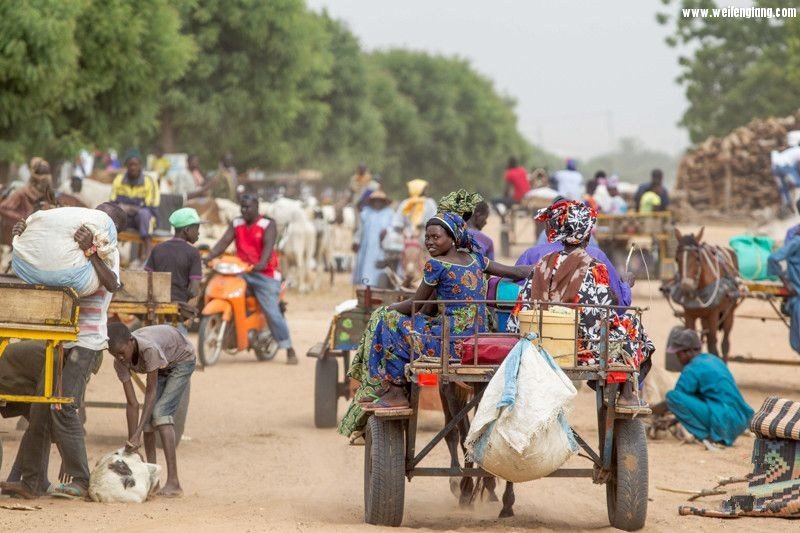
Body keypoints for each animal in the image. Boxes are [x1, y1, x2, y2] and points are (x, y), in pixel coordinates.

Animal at [672, 227, 740, 360]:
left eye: (697, 258)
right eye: (677, 259)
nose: (686, 286)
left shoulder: (713, 315)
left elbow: (713, 345)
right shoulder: (689, 315)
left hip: (729, 312)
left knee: (725, 343)